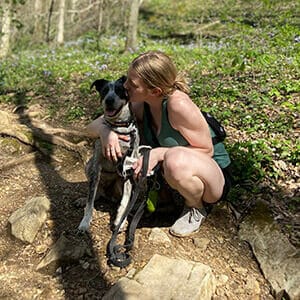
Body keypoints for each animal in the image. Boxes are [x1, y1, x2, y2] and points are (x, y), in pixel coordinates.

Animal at [77, 75, 141, 232]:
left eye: (119, 90)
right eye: (104, 91)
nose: (109, 100)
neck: (118, 129)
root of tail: (108, 194)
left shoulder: (129, 167)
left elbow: (125, 201)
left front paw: (119, 221)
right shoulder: (96, 165)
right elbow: (90, 201)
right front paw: (85, 222)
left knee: (121, 199)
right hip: (89, 166)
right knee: (96, 193)